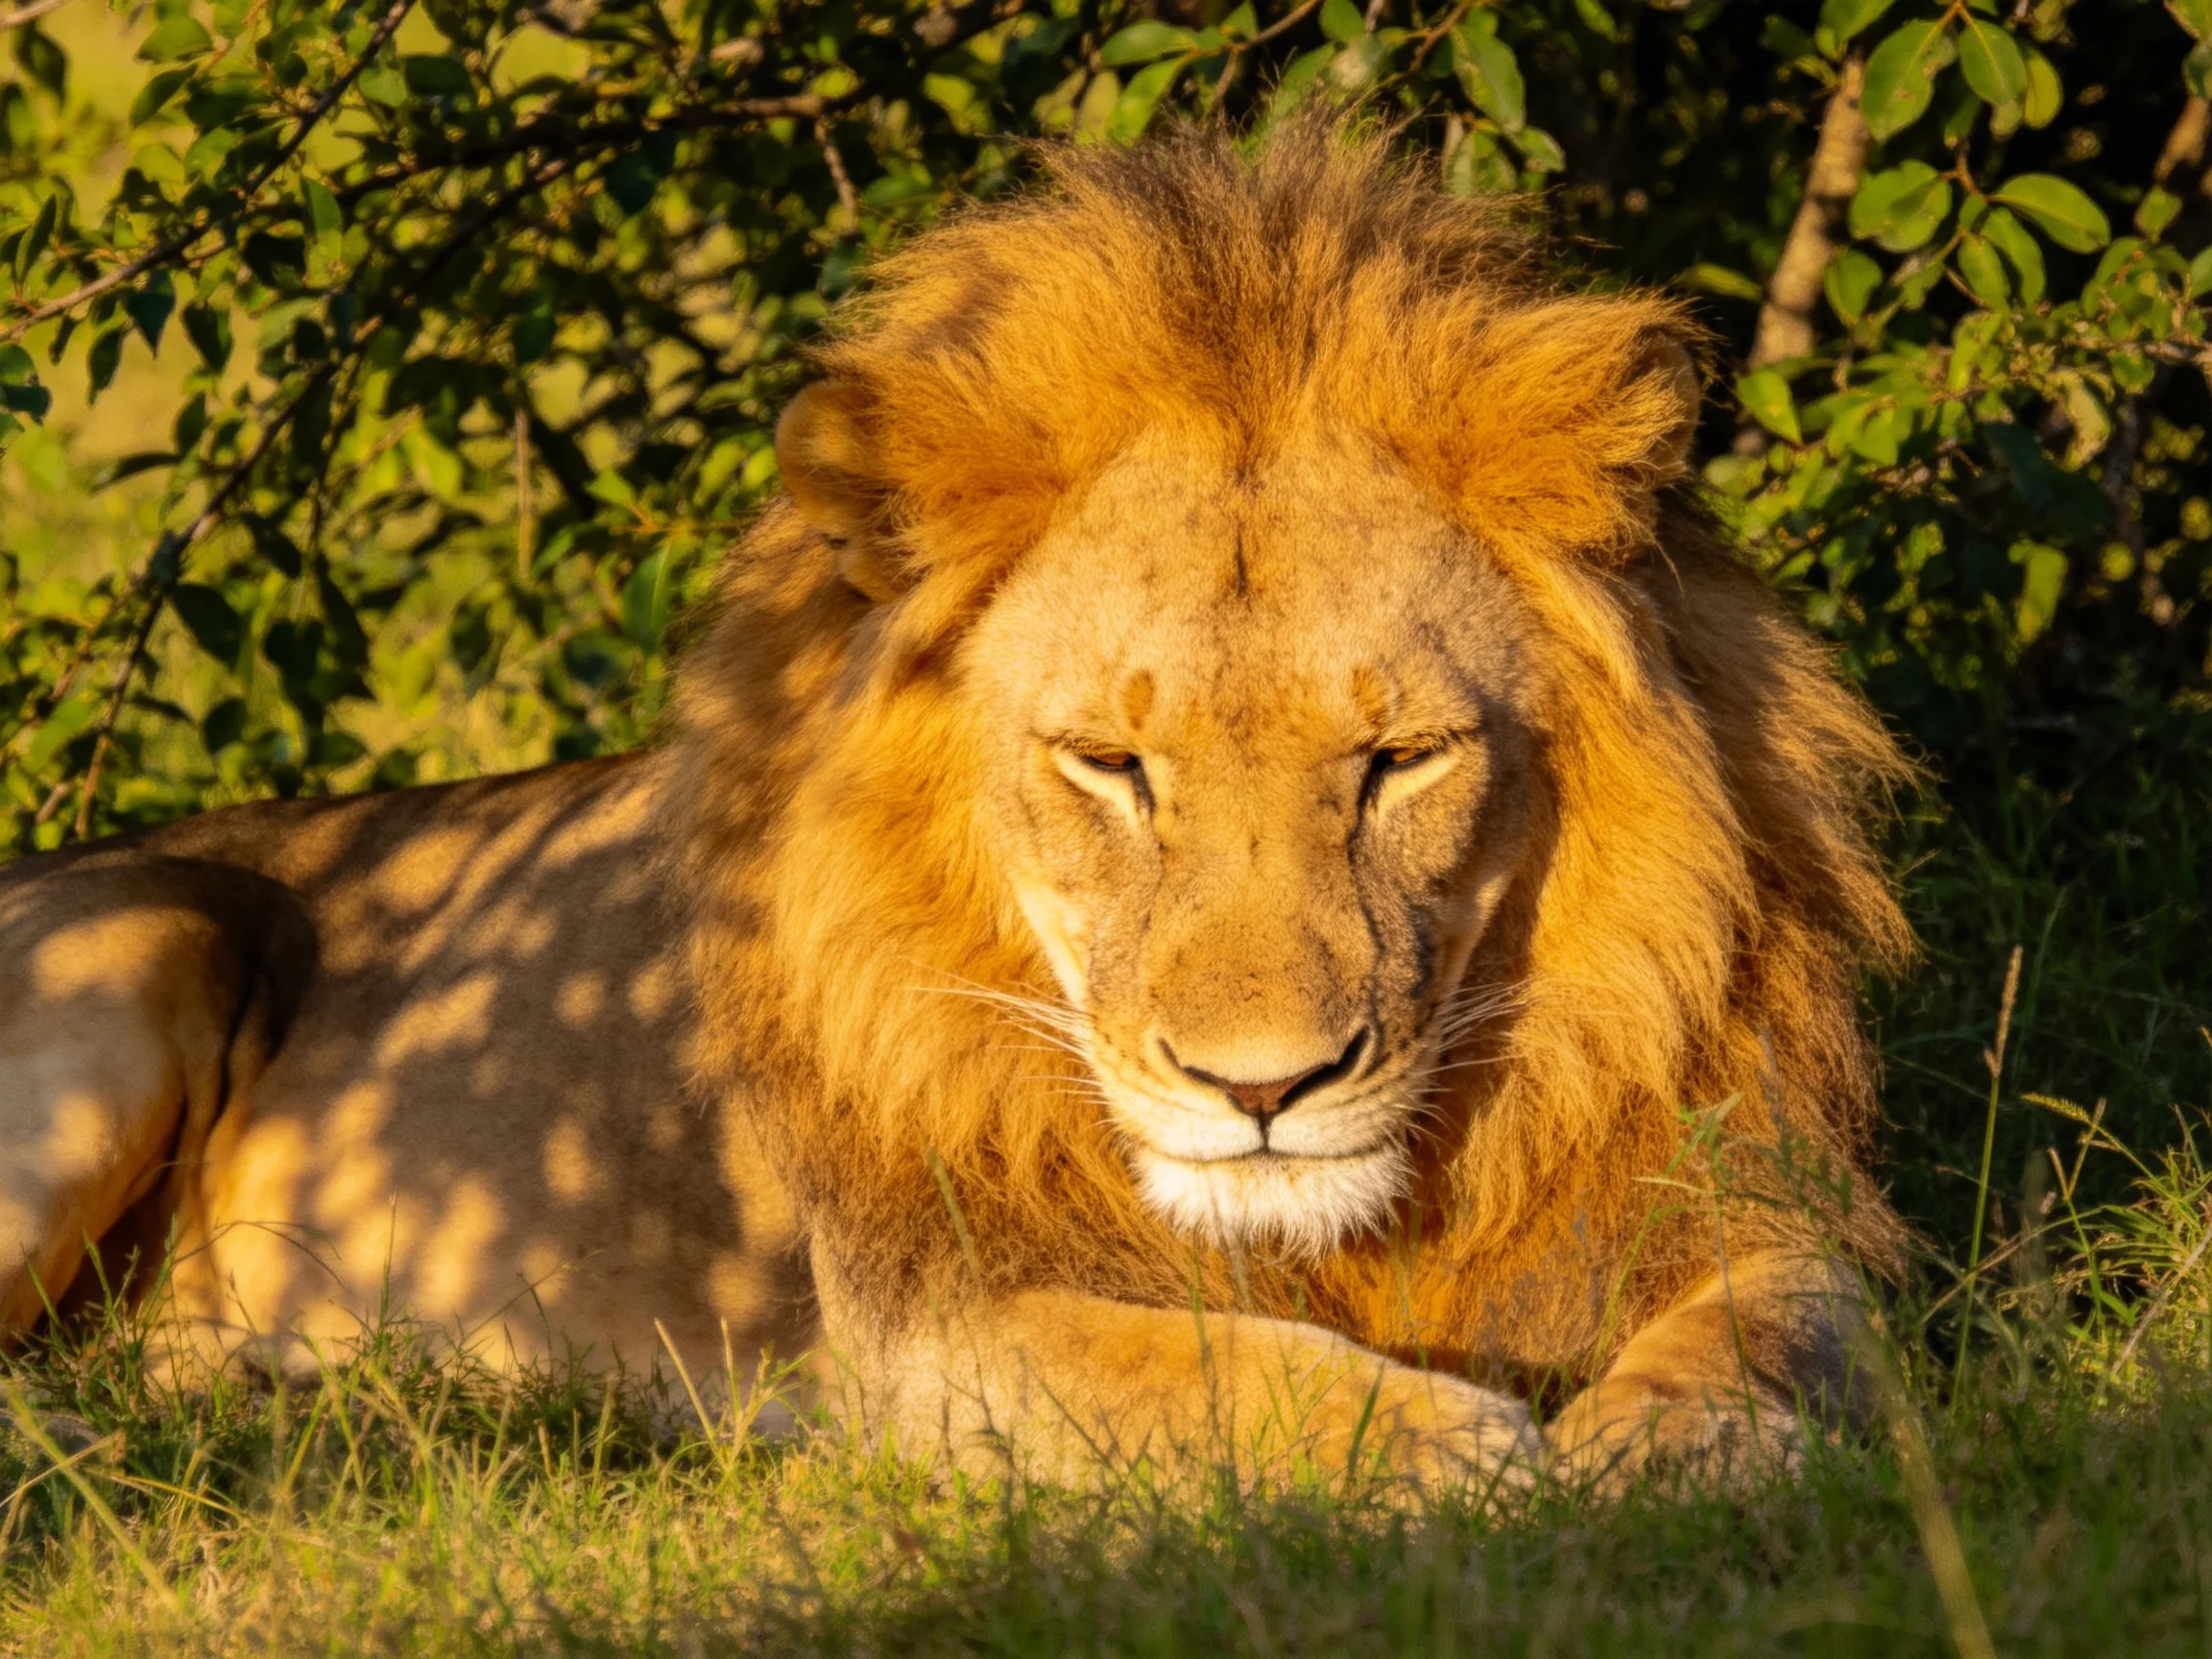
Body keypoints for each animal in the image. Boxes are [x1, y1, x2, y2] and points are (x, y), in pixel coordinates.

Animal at [0, 123, 1911, 1490]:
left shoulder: (1762, 1194)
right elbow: (1189, 1365)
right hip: (146, 931)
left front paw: (1677, 1448)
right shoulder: (923, 1337)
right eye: (1108, 766)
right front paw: (1456, 1447)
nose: (1263, 1093)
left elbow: (1785, 1334)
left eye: (1397, 762)